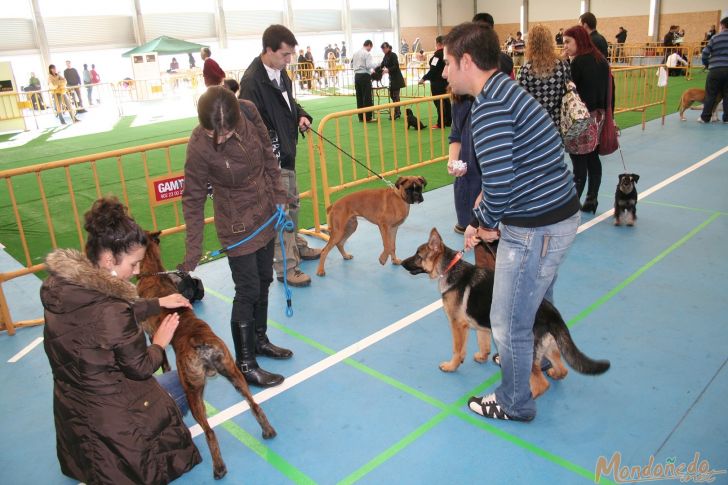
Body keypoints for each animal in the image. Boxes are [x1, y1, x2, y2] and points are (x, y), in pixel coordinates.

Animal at [137, 232, 276, 480]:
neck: (153, 272)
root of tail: (199, 342)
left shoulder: (152, 335)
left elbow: (162, 360)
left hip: (192, 393)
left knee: (210, 432)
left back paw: (219, 468)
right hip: (235, 373)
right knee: (254, 405)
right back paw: (268, 431)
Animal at [400, 227, 612, 398]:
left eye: (418, 255)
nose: (401, 262)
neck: (451, 268)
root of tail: (553, 314)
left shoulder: (457, 325)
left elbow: (457, 349)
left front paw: (452, 366)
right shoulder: (481, 326)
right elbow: (483, 343)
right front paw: (482, 357)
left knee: (541, 384)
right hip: (549, 347)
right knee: (562, 368)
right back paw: (553, 373)